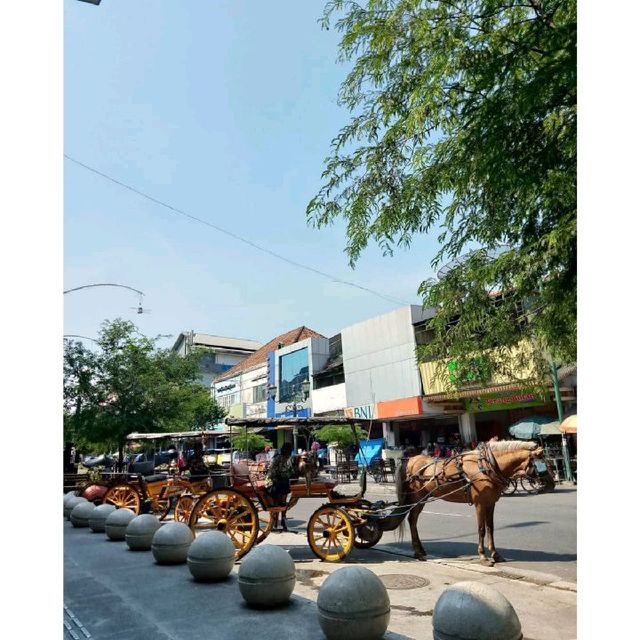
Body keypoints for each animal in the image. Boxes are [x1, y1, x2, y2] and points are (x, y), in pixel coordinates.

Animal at [398, 440, 544, 564]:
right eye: (539, 463)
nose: (546, 482)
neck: (486, 466)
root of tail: (411, 459)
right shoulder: (480, 504)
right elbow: (481, 529)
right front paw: (483, 556)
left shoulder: (490, 503)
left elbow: (490, 528)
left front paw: (495, 554)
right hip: (417, 497)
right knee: (412, 519)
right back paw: (418, 552)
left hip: (422, 498)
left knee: (413, 520)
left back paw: (420, 551)